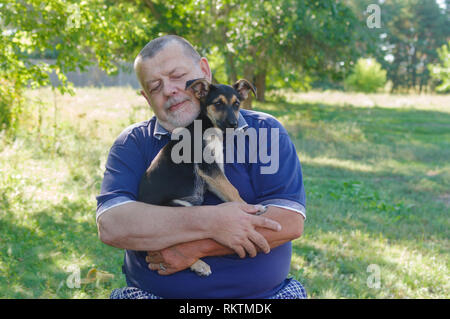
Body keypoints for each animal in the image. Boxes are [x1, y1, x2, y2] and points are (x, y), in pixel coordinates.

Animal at [138, 79, 264, 276]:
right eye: (218, 103)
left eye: (237, 104)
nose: (234, 124)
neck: (208, 125)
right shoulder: (208, 167)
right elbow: (233, 189)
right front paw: (251, 209)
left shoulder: (212, 178)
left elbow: (228, 192)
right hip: (176, 210)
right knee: (168, 245)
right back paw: (198, 264)